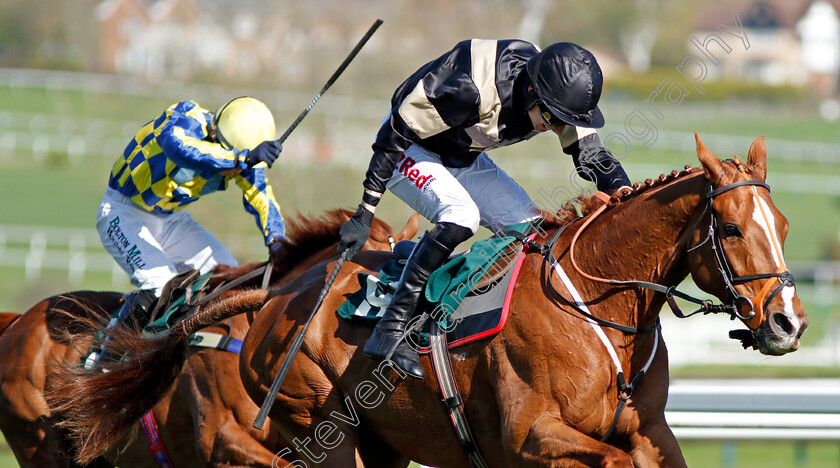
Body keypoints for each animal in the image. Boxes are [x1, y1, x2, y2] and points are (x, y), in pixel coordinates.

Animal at [47, 133, 808, 466]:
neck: (596, 307)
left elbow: (648, 452)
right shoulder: (532, 437)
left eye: (783, 224)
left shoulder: (654, 430)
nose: (787, 322)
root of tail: (272, 294)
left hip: (379, 444)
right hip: (320, 430)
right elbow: (614, 459)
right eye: (731, 228)